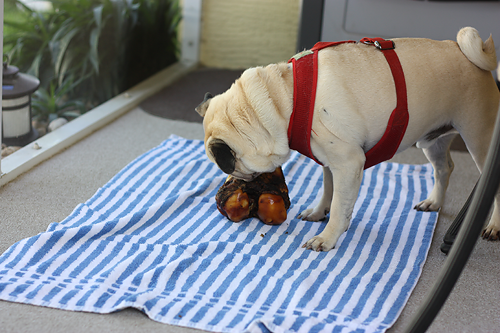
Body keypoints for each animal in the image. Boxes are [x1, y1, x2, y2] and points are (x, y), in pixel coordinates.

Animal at [195, 27, 500, 250]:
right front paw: (319, 212)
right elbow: (328, 190)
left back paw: (494, 226)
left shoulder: (348, 162)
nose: (233, 178)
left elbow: (341, 205)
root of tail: (468, 55)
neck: (284, 99)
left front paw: (328, 238)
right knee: (444, 168)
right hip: (431, 141)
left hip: (479, 138)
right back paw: (434, 202)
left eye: (227, 166)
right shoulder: (330, 162)